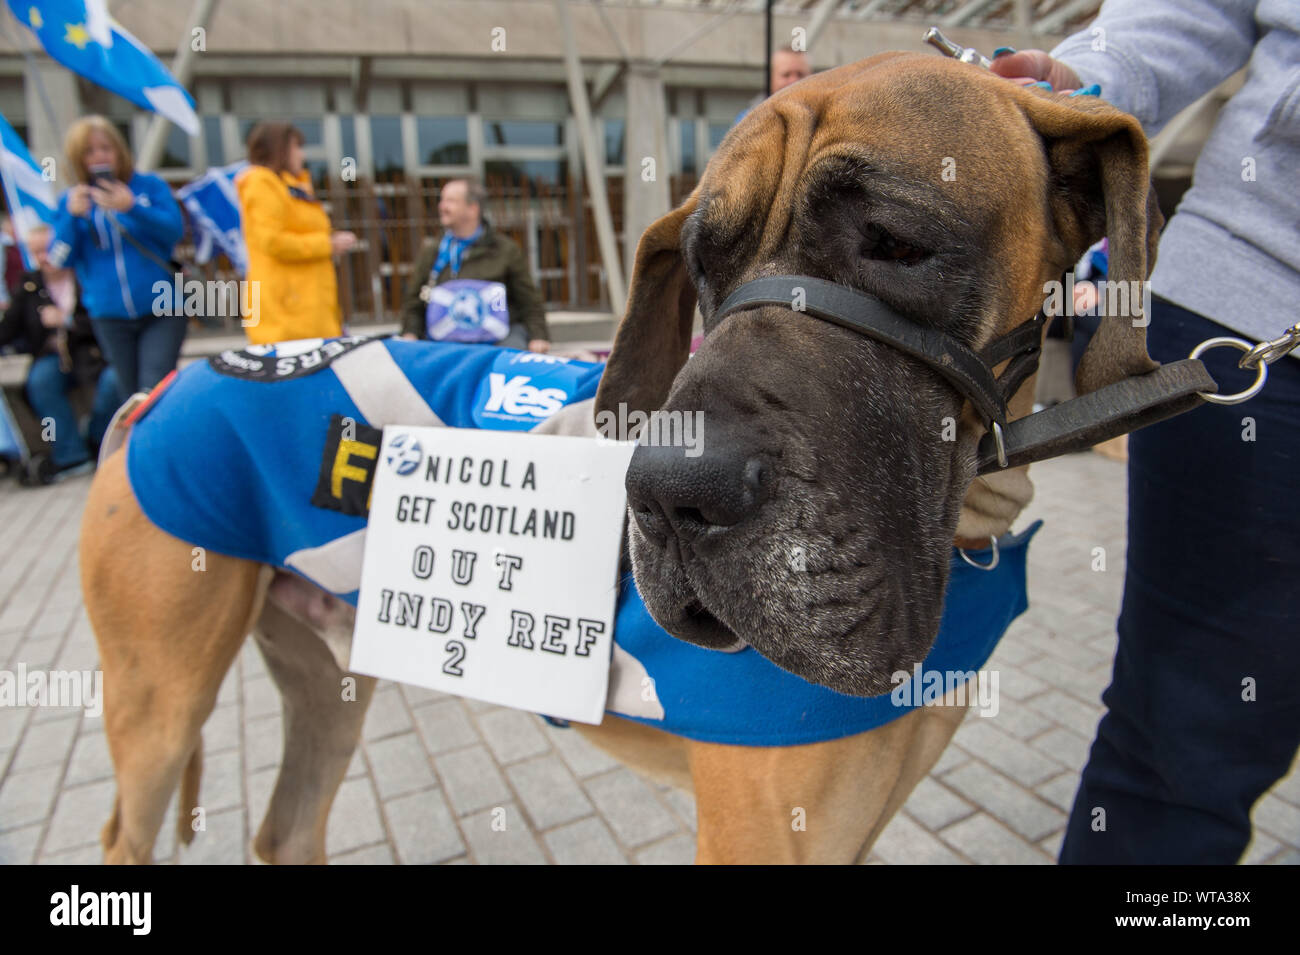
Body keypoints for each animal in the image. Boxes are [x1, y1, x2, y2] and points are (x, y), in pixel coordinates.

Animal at [81, 52, 1159, 867]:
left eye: (894, 242)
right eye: (704, 262)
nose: (669, 494)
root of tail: (160, 388)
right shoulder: (761, 836)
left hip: (324, 681)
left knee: (287, 829)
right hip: (158, 701)